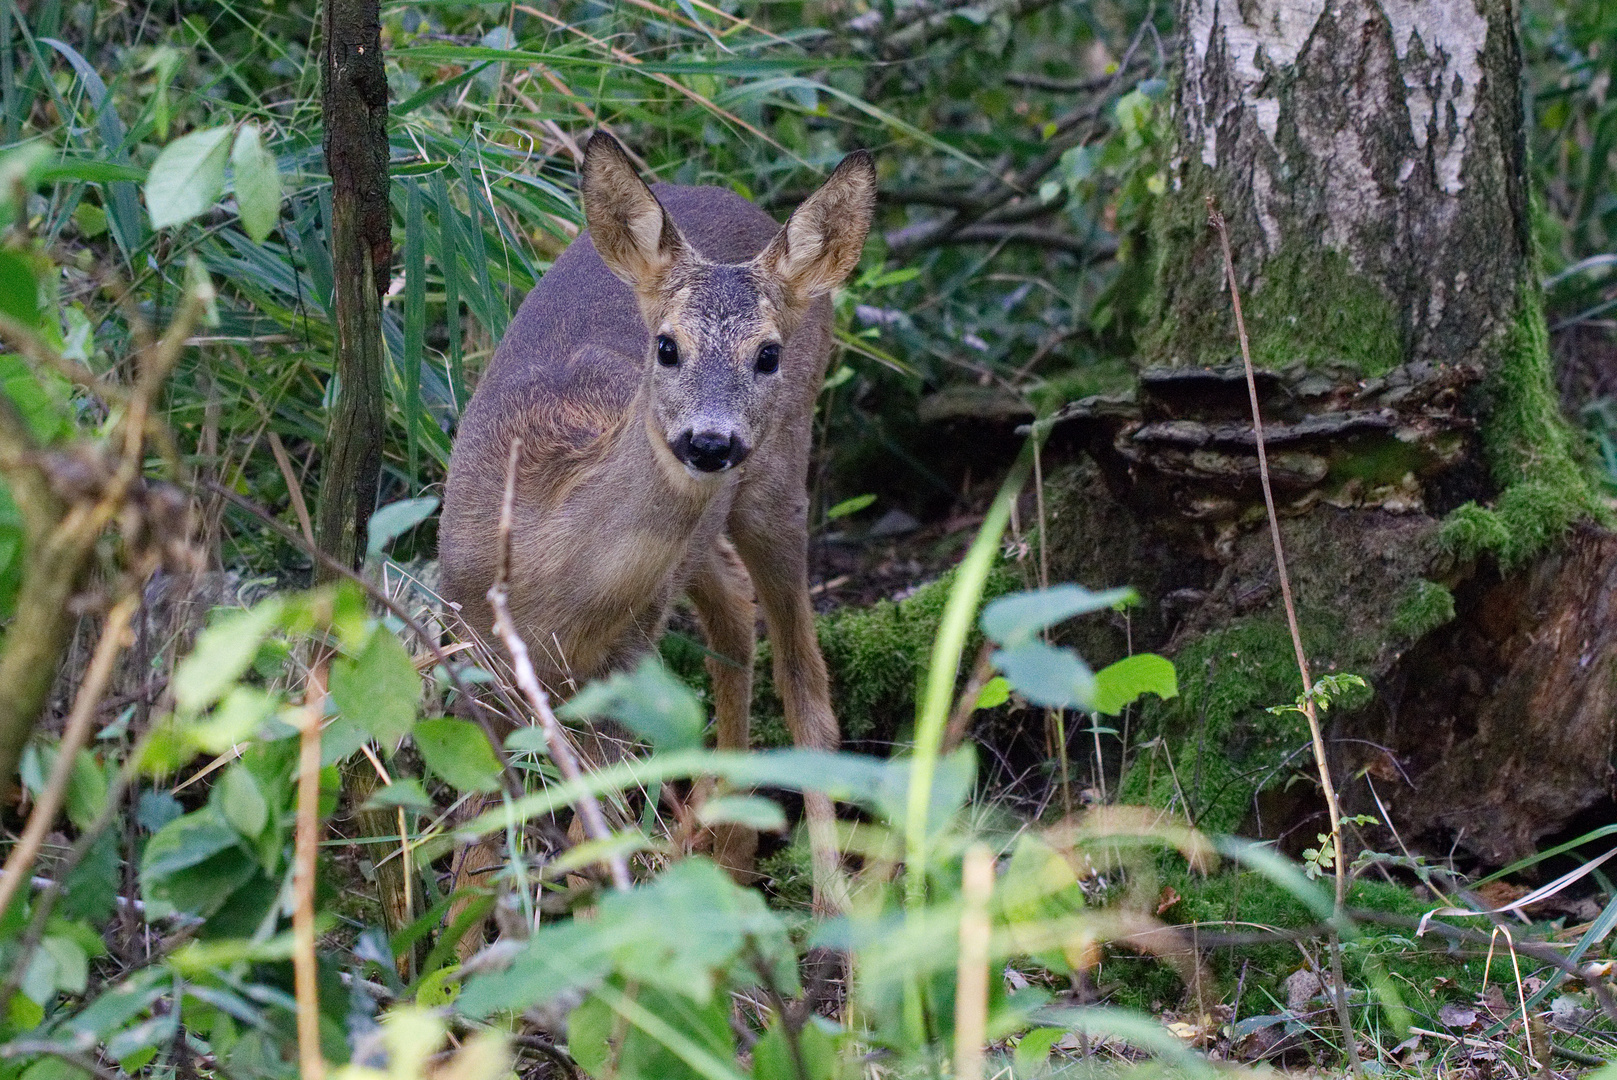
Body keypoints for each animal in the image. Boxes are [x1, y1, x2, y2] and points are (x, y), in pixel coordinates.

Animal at [439, 130, 873, 911]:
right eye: (667, 346)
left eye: (767, 354)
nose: (709, 441)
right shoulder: (467, 653)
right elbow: (480, 842)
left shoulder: (624, 669)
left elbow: (590, 844)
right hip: (700, 542)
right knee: (733, 608)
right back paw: (724, 851)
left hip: (774, 479)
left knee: (805, 684)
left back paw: (826, 906)